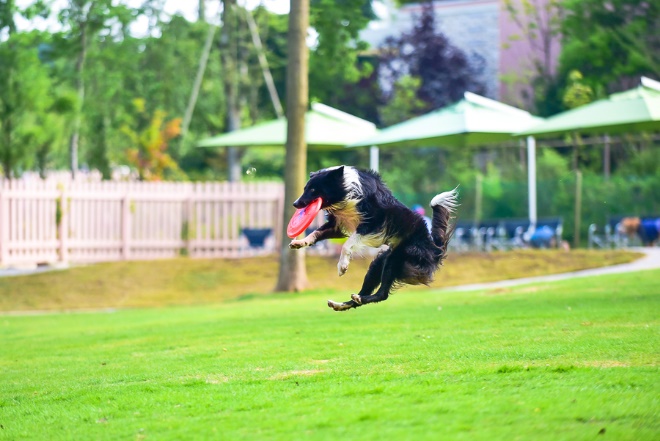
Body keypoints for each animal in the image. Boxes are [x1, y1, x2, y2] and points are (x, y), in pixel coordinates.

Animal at [292, 163, 456, 312]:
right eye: (305, 188)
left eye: (313, 189)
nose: (295, 203)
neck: (347, 190)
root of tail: (434, 248)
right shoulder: (338, 224)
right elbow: (317, 232)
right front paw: (301, 241)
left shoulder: (373, 225)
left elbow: (347, 244)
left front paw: (342, 266)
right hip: (379, 263)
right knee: (368, 292)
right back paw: (343, 304)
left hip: (396, 259)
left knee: (383, 294)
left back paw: (358, 299)